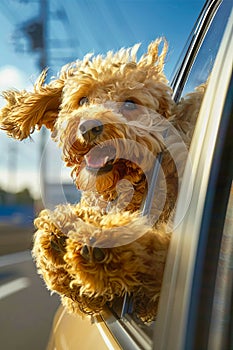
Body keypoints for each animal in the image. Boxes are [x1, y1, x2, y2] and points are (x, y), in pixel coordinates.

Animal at [0, 39, 206, 322]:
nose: (88, 127)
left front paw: (105, 238)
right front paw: (57, 237)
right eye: (83, 99)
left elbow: (162, 254)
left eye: (130, 104)